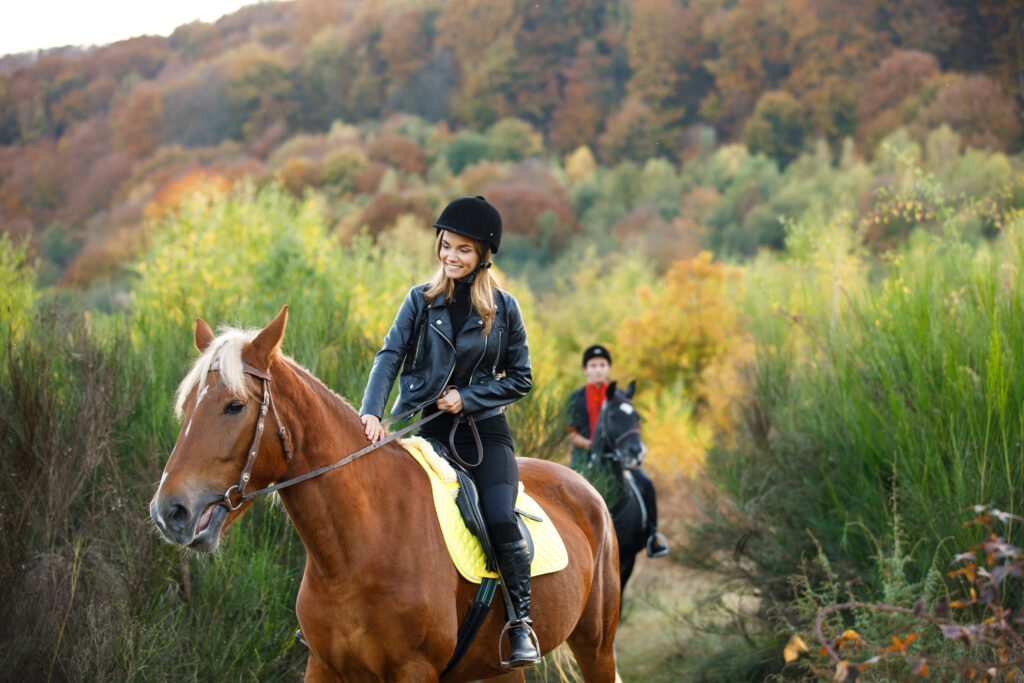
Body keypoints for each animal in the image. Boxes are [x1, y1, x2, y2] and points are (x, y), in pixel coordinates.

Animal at [148, 309, 618, 683]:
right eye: (186, 407)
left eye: (234, 406)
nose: (170, 511)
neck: (356, 551)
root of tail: (584, 488)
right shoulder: (323, 667)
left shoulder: (414, 670)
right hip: (499, 671)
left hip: (597, 647)